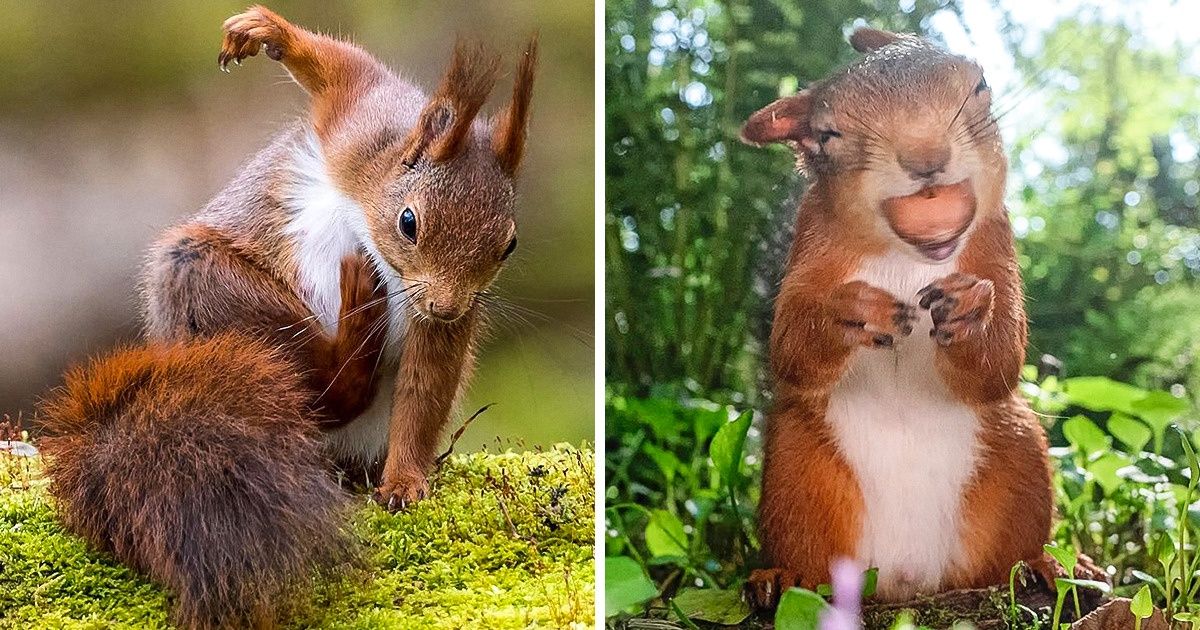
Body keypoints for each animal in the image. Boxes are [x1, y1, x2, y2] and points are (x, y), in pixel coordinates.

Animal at [37, 6, 536, 628]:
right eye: (409, 222)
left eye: (508, 245)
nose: (446, 306)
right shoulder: (360, 123)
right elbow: (342, 69)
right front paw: (266, 32)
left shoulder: (438, 324)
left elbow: (424, 393)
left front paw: (404, 482)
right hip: (203, 280)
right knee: (320, 387)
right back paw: (352, 337)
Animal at [738, 27, 1053, 605]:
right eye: (828, 134)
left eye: (979, 85)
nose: (926, 157)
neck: (910, 258)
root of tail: (908, 581)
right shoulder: (811, 245)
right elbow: (790, 346)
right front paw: (852, 311)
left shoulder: (996, 242)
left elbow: (1002, 362)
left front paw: (972, 311)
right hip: (797, 474)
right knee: (806, 552)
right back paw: (782, 576)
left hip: (1016, 448)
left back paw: (1041, 564)